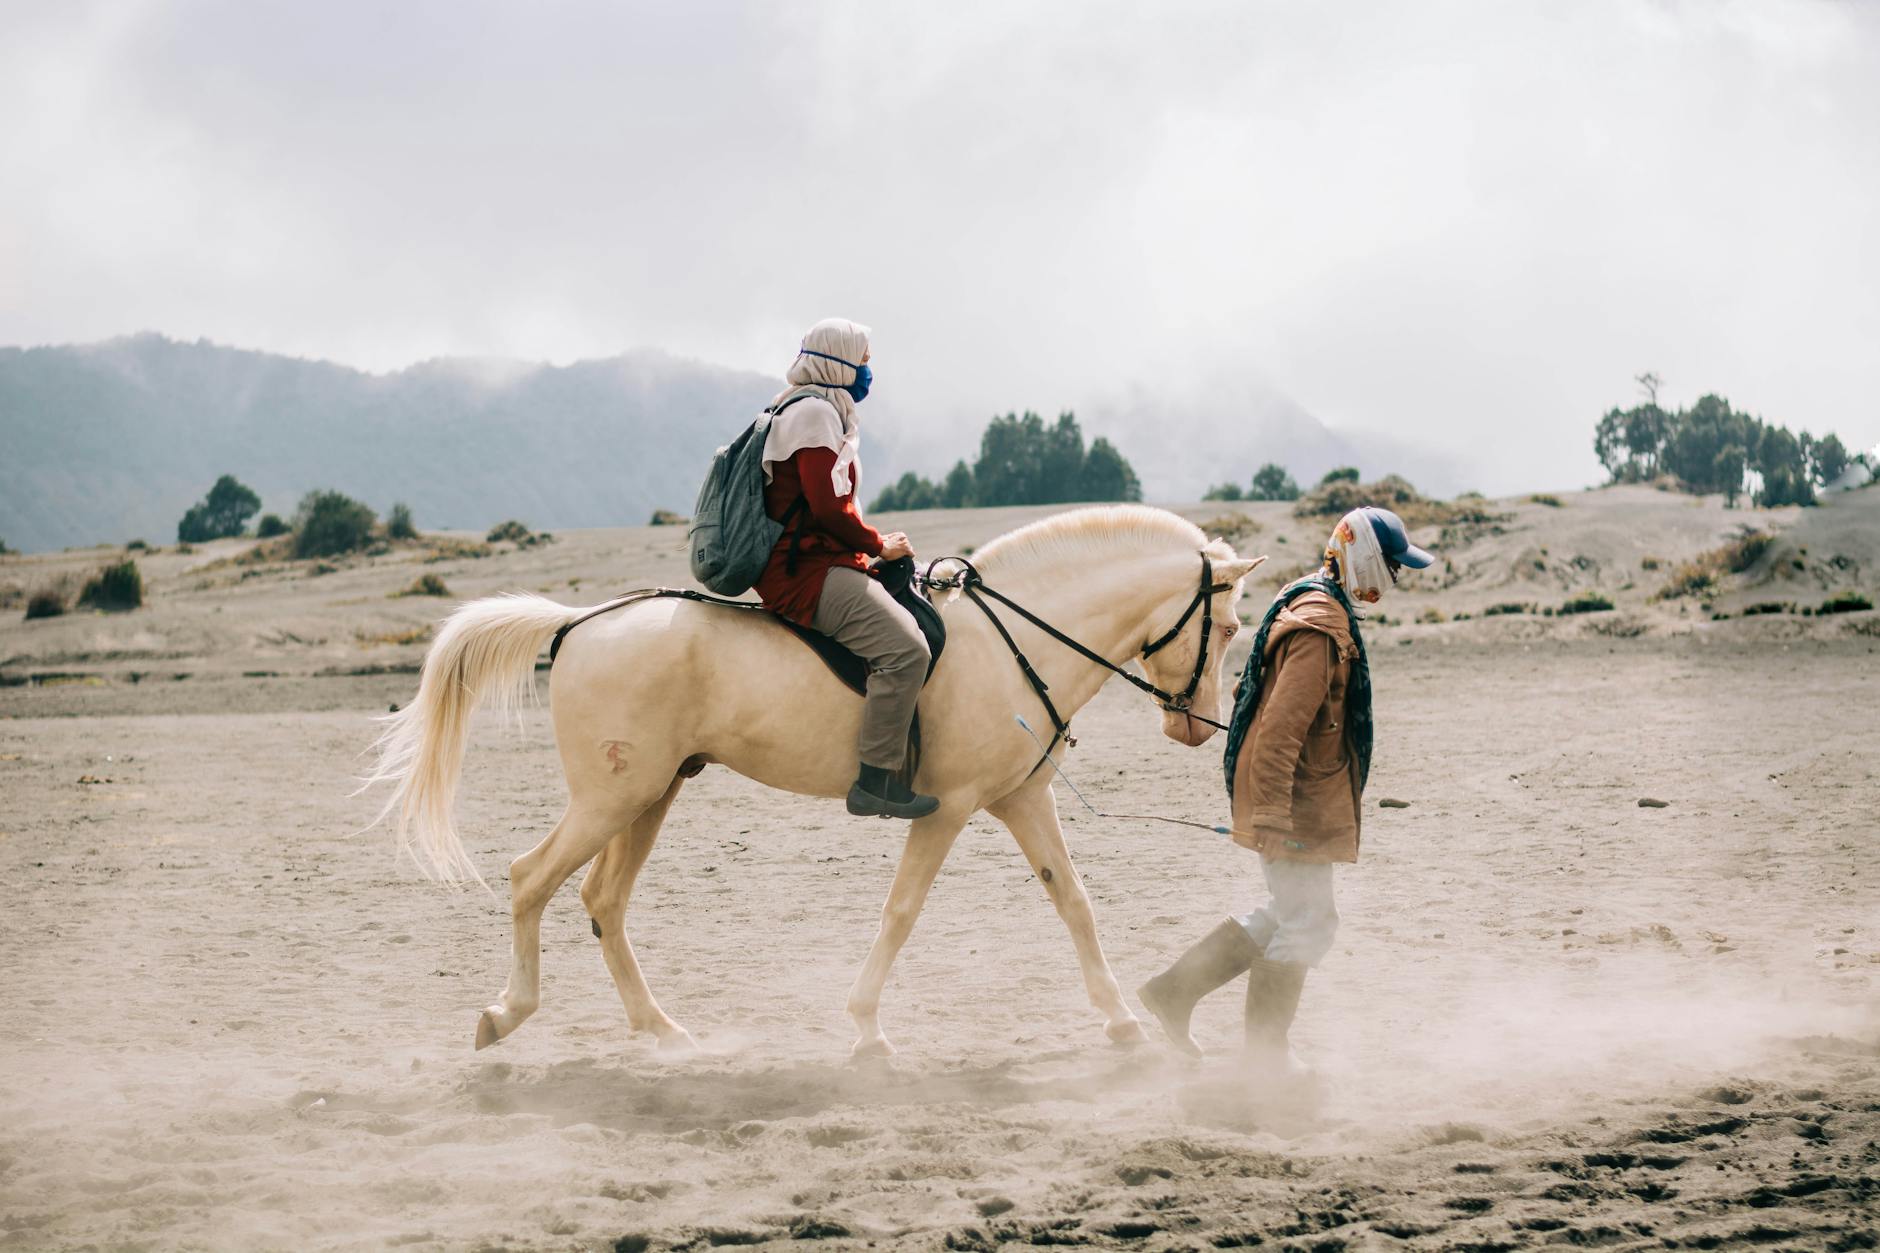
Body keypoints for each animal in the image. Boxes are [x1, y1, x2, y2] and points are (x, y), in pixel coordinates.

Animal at [362, 500, 1263, 1053]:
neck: (1017, 641)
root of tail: (579, 621)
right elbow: (902, 913)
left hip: (650, 794)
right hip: (613, 797)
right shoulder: (947, 810)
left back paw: (660, 1028)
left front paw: (1122, 1021)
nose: (1194, 725)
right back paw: (507, 1013)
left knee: (601, 902)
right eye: (1225, 627)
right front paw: (865, 1027)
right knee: (531, 878)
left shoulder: (1021, 799)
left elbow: (1074, 903)